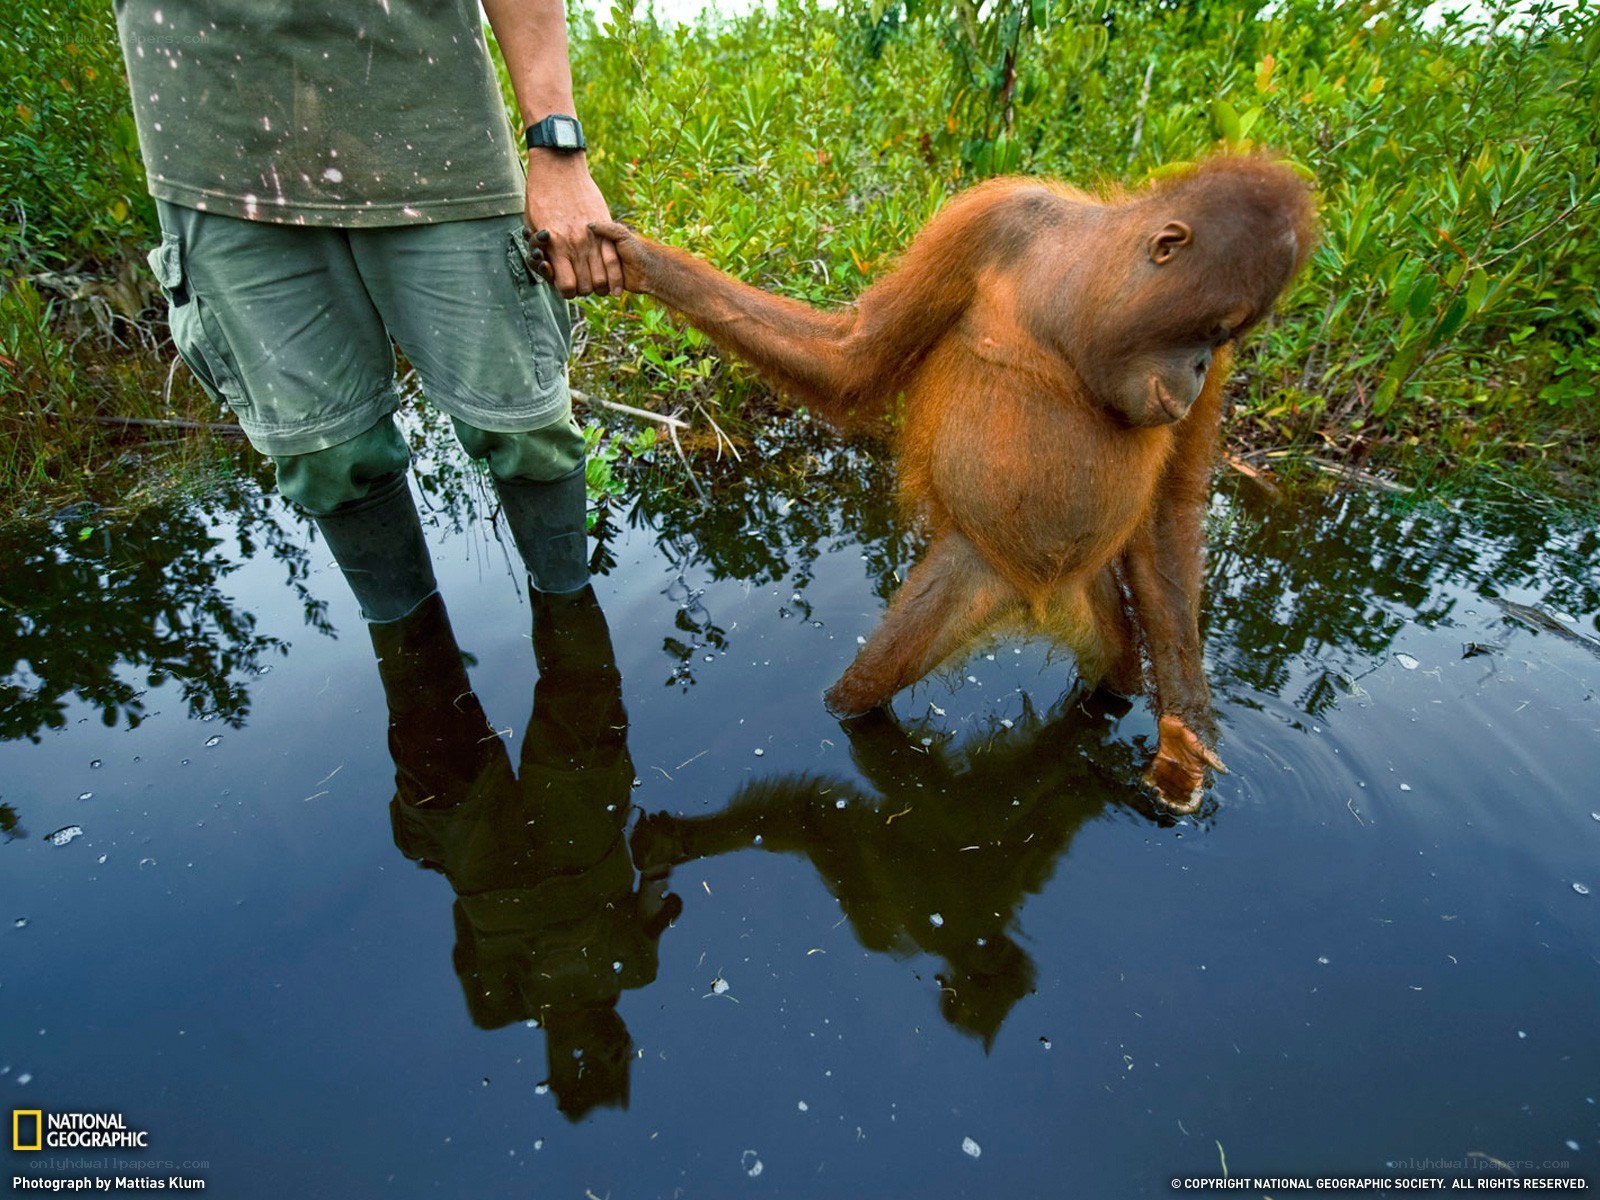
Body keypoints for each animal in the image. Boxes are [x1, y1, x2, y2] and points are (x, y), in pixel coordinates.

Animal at [565, 155, 1315, 811]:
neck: (1085, 293)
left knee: (1117, 678)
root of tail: (1035, 605)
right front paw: (638, 261)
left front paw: (1185, 738)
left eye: (1224, 340)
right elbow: (854, 359)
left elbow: (1168, 506)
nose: (1199, 368)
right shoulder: (991, 223)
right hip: (970, 573)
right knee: (860, 695)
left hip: (1089, 593)